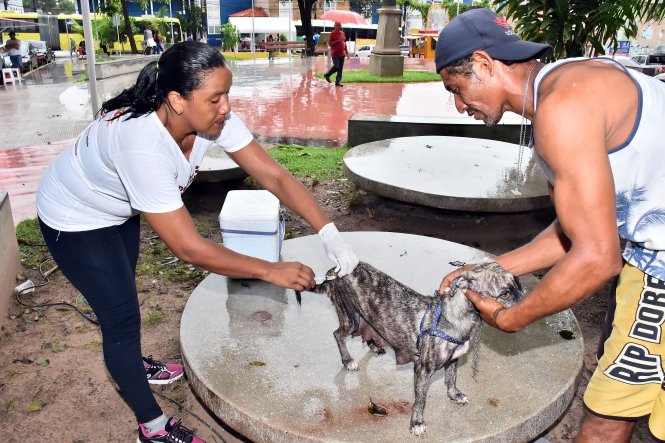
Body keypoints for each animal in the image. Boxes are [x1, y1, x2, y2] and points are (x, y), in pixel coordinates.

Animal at [312, 262, 524, 436]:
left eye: (519, 285)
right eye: (505, 294)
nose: (525, 307)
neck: (454, 318)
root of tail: (333, 271)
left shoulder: (453, 360)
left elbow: (451, 379)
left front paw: (455, 395)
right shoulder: (422, 369)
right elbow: (420, 400)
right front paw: (417, 423)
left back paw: (374, 346)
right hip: (350, 318)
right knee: (337, 334)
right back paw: (347, 361)